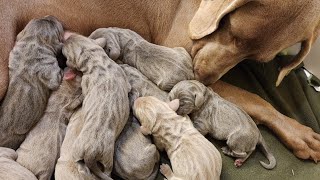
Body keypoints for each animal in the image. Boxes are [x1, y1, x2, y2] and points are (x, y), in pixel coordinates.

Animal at [0, 15, 64, 149]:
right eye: (56, 26)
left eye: (45, 17)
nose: (50, 15)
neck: (33, 42)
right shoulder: (52, 72)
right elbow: (57, 78)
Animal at [62, 33, 130, 179]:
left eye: (65, 52)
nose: (66, 38)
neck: (96, 60)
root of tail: (90, 155)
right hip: (102, 156)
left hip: (87, 152)